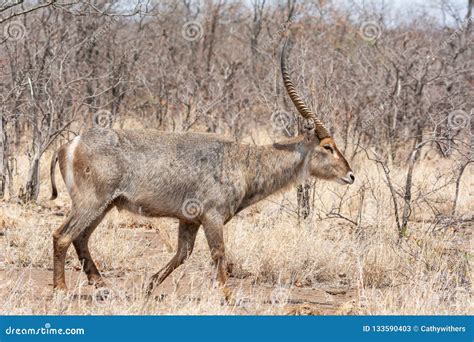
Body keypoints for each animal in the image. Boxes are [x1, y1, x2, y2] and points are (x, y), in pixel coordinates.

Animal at [50, 38, 354, 302]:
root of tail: (69, 144)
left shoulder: (189, 220)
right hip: (92, 203)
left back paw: (102, 285)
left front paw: (149, 286)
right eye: (328, 146)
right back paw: (61, 289)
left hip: (106, 205)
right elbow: (218, 252)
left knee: (81, 238)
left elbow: (182, 254)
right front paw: (227, 295)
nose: (350, 175)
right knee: (63, 236)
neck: (243, 161)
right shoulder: (212, 216)